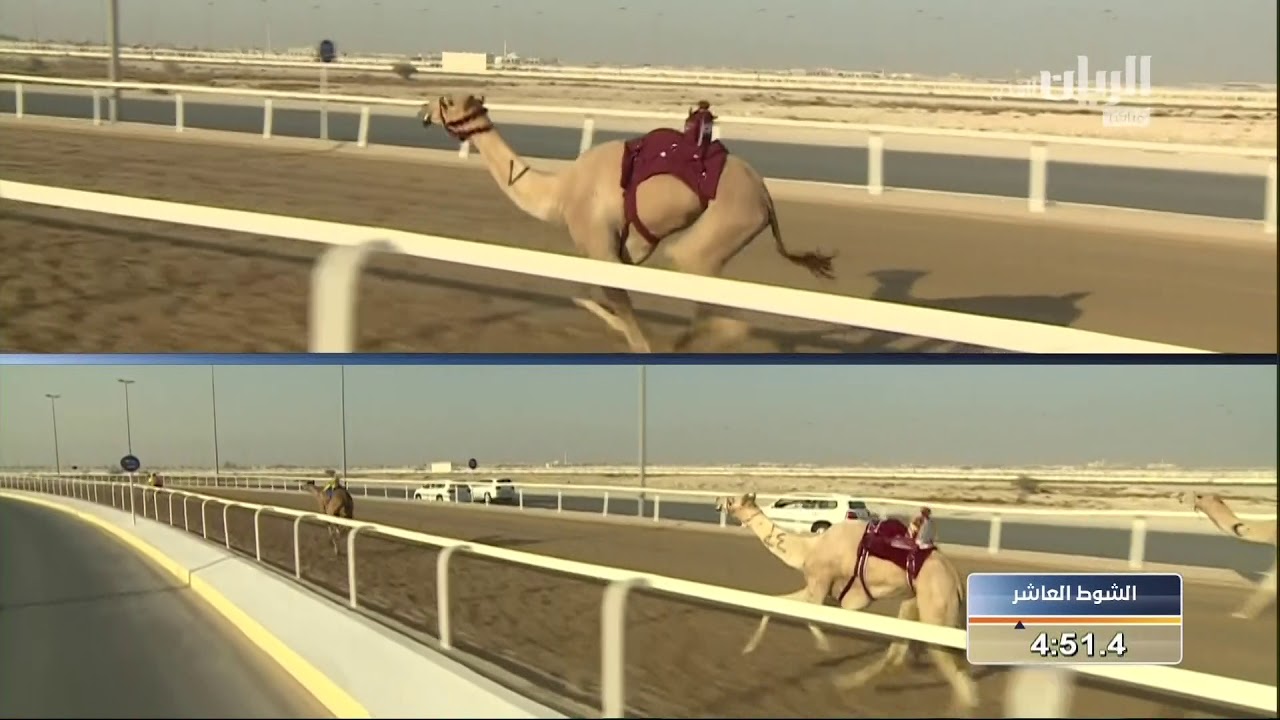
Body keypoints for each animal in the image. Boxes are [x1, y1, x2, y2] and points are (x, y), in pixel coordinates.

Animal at [420, 94, 836, 353]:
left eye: (447, 102)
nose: (423, 111)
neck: (560, 192)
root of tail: (765, 197)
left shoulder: (600, 242)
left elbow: (619, 310)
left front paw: (644, 341)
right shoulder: (619, 250)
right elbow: (582, 292)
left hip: (719, 229)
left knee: (716, 298)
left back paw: (685, 342)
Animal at [715, 493, 976, 714]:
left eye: (732, 500)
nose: (718, 501)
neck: (809, 549)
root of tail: (956, 581)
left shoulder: (821, 586)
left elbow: (810, 617)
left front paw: (825, 646)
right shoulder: (824, 590)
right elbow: (774, 604)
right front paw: (748, 648)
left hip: (937, 608)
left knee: (961, 684)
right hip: (914, 601)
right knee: (897, 656)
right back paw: (847, 683)